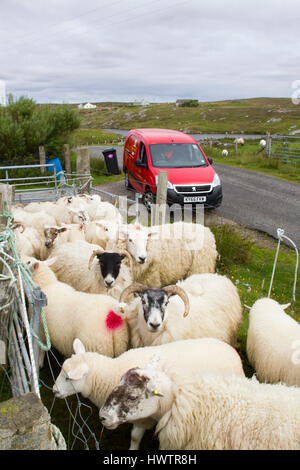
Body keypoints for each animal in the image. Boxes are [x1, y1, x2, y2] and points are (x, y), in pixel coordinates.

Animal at [53, 336, 246, 450]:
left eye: (69, 378)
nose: (54, 390)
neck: (109, 374)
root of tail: (232, 352)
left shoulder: (144, 418)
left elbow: (135, 437)